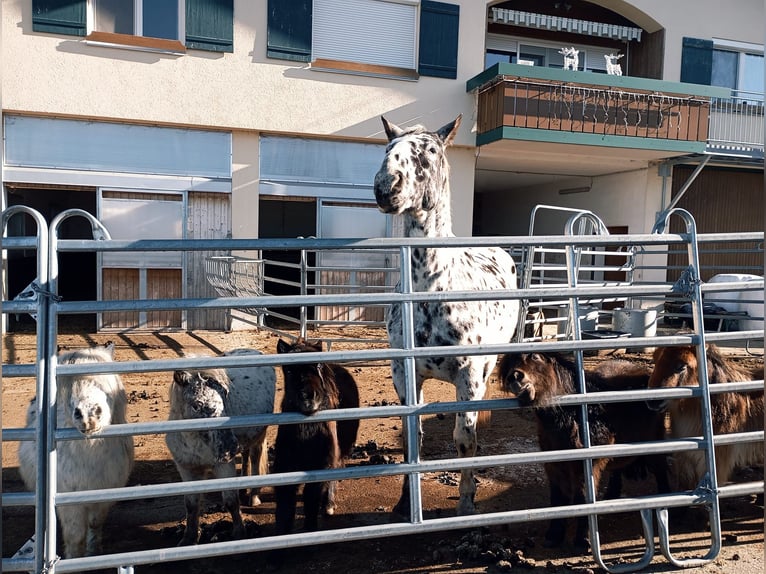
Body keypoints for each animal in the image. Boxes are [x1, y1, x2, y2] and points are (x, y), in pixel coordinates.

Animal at [18, 344, 135, 560]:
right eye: (67, 386)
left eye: (106, 380)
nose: (89, 415)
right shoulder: (69, 503)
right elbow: (75, 536)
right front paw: (75, 559)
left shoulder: (103, 495)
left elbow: (95, 523)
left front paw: (93, 552)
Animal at [374, 113, 520, 516]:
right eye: (387, 149)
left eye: (432, 151)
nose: (386, 186)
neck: (431, 289)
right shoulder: (404, 375)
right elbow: (412, 438)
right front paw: (405, 503)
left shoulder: (468, 378)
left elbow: (464, 439)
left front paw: (467, 502)